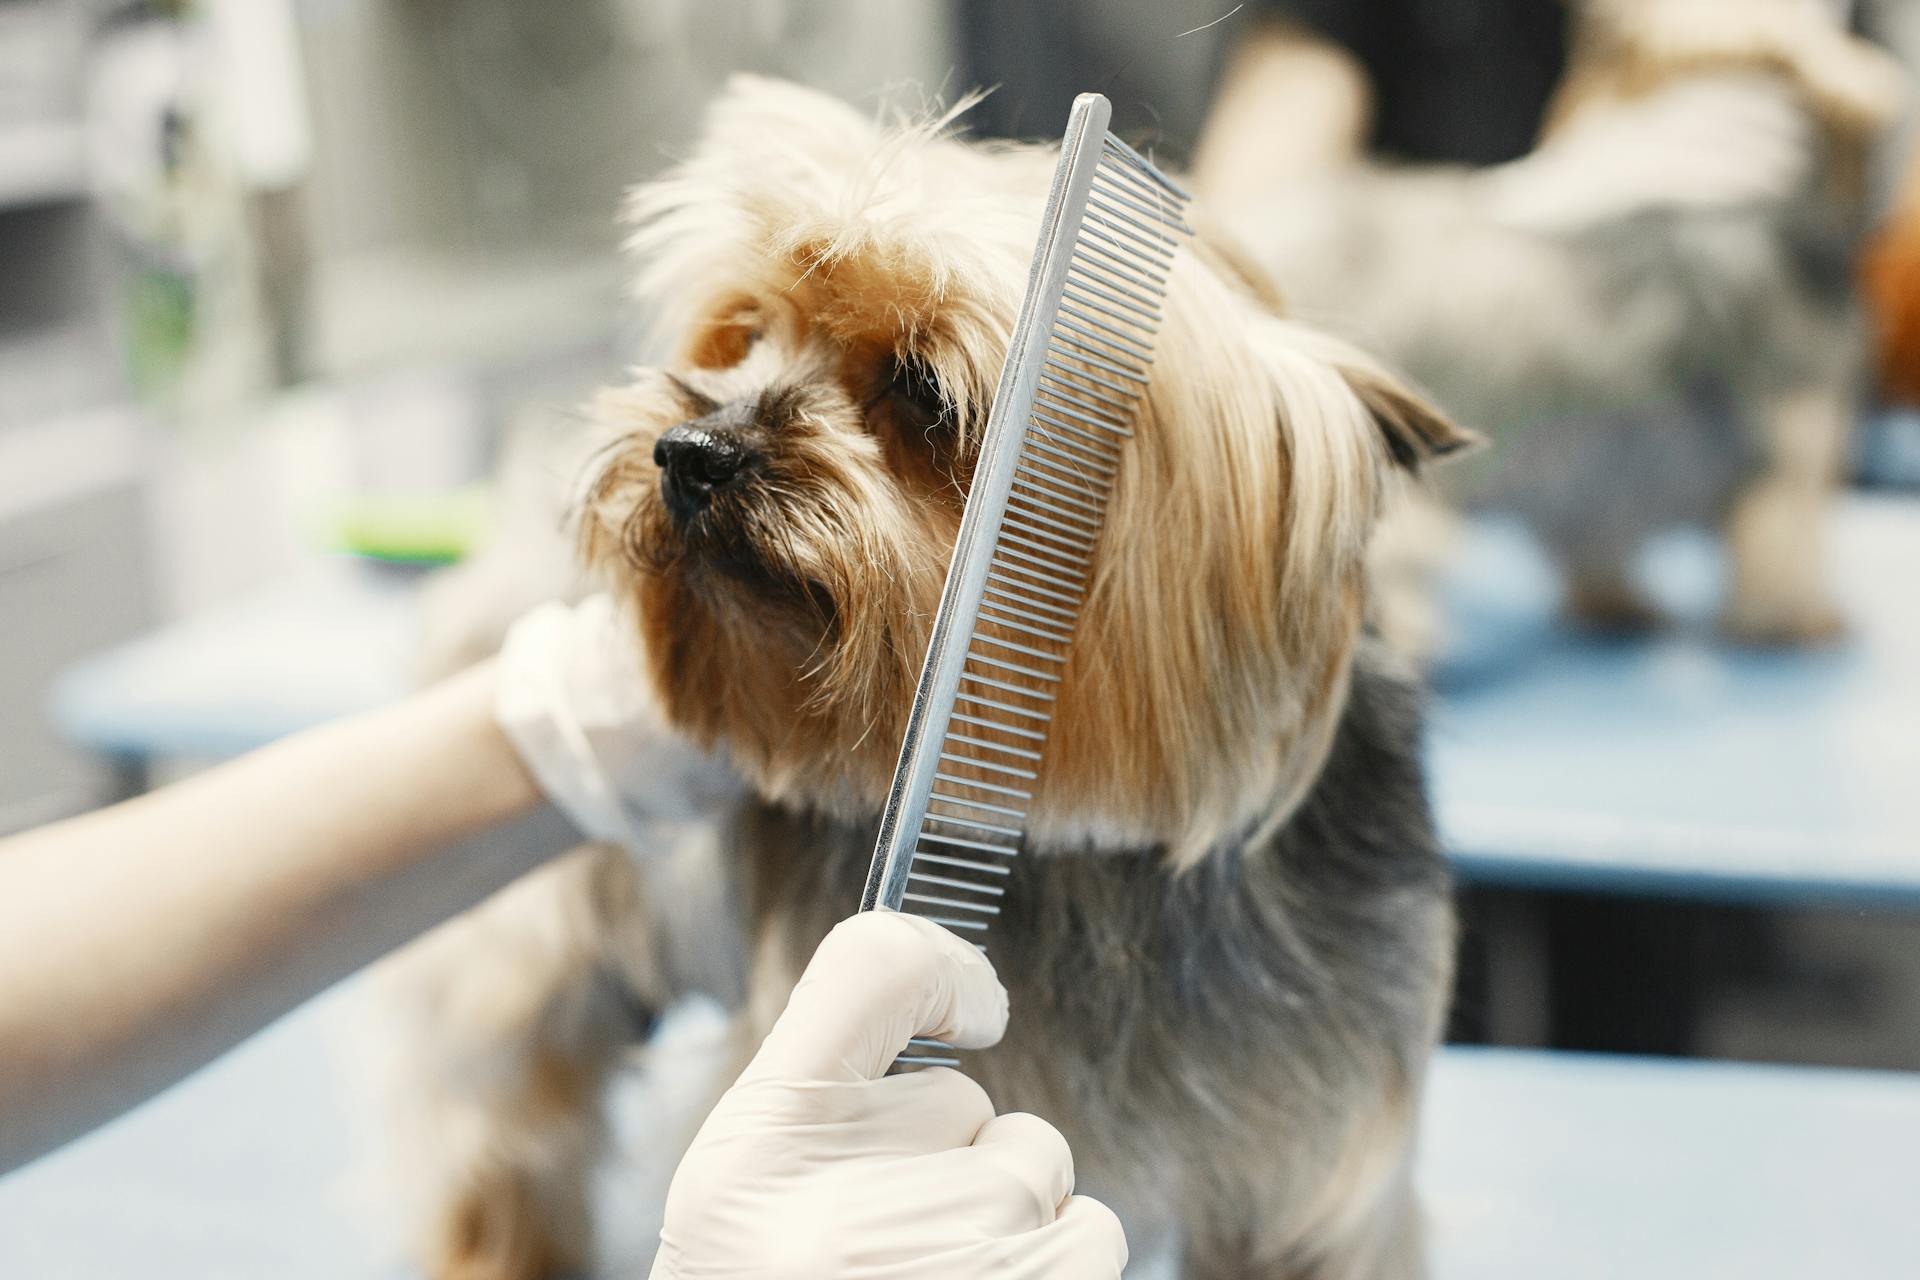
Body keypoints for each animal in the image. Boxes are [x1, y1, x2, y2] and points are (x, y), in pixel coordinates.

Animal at [374, 80, 1466, 1280]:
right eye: (745, 334)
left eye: (923, 388)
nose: (688, 450)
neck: (1090, 879)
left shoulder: (1317, 1172)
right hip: (512, 966)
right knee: (497, 1126)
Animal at [1221, 0, 1896, 652]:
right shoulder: (1792, 443)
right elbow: (1785, 551)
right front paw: (1797, 623)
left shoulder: (1600, 482)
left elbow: (1595, 547)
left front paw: (1613, 605)